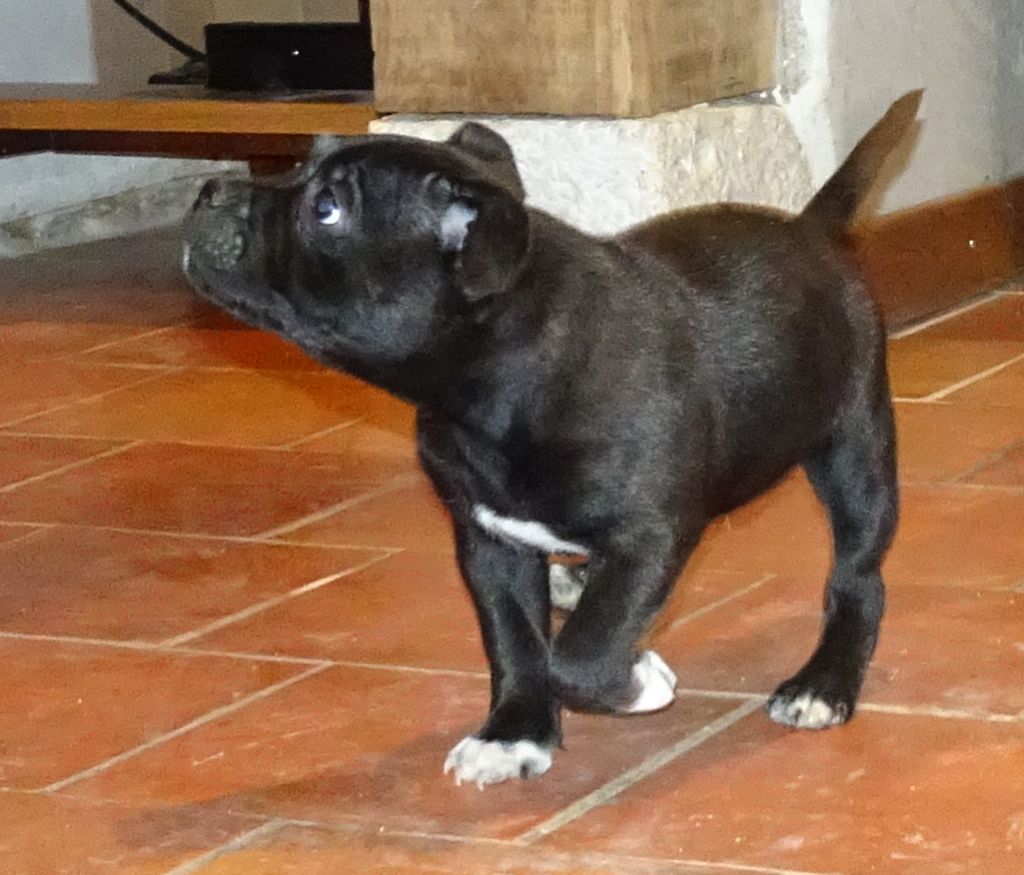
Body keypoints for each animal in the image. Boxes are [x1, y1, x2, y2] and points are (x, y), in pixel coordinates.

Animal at [184, 90, 921, 788]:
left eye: (327, 209)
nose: (208, 190)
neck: (494, 386)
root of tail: (810, 229)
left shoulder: (649, 534)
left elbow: (581, 655)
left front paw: (636, 680)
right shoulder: (491, 542)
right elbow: (516, 645)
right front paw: (514, 734)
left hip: (855, 452)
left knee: (858, 579)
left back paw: (823, 684)